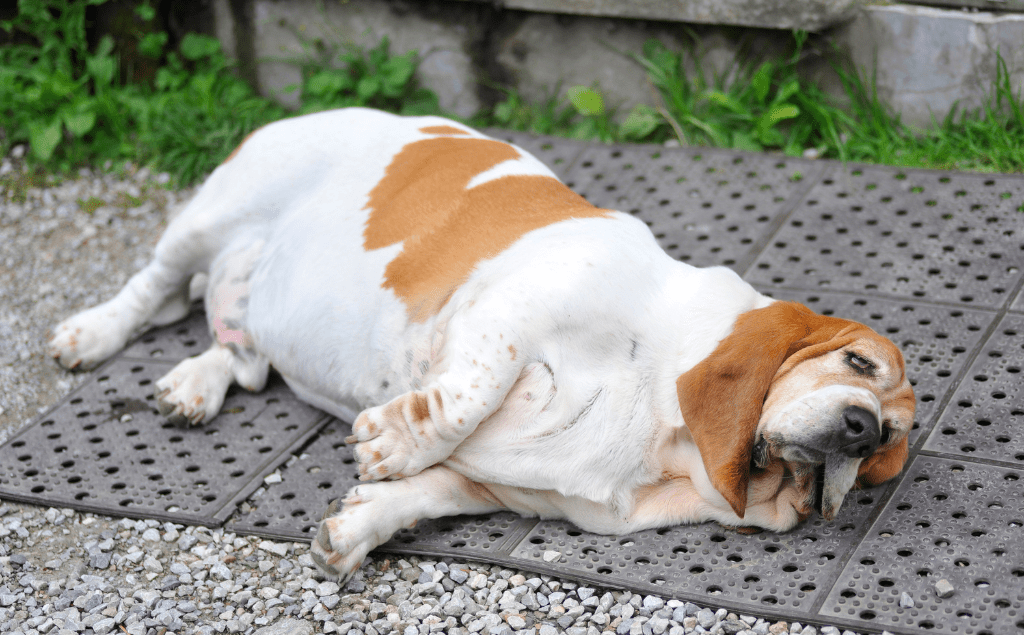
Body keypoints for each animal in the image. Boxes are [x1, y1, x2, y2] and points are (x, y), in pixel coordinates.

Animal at [48, 108, 917, 581]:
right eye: (857, 363)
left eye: (886, 446)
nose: (861, 426)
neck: (663, 433)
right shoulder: (506, 314)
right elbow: (464, 398)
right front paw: (389, 439)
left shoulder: (506, 489)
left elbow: (426, 493)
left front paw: (355, 530)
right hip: (207, 219)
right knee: (154, 291)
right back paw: (89, 333)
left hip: (242, 306)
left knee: (238, 348)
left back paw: (194, 386)